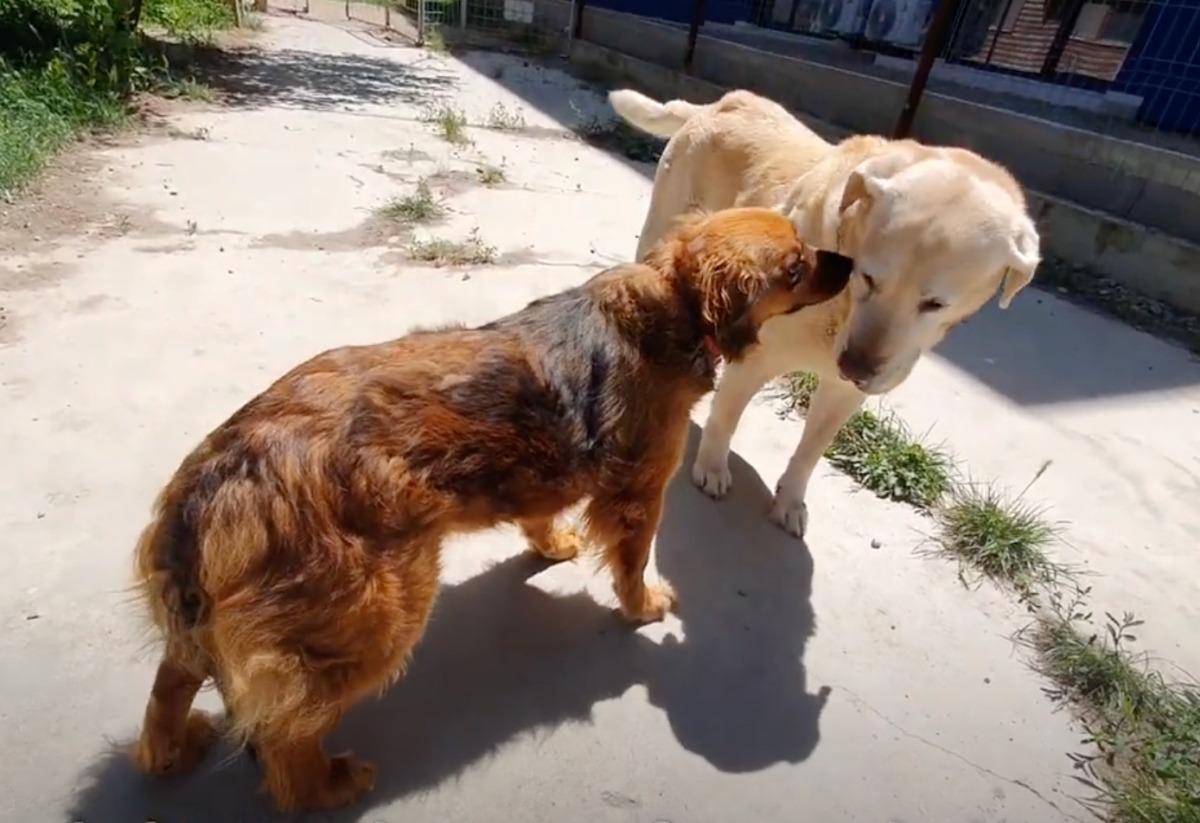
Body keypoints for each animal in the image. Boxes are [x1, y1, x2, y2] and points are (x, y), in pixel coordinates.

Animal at [129, 209, 854, 815]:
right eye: (796, 267)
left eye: (805, 242)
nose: (847, 263)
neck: (672, 298)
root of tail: (224, 473)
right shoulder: (641, 492)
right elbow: (631, 561)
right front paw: (643, 605)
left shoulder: (548, 472)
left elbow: (541, 513)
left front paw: (551, 544)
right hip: (376, 615)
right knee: (284, 738)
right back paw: (323, 786)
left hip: (218, 622)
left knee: (172, 681)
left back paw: (169, 749)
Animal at [609, 89, 1041, 537]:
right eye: (867, 277)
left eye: (935, 304)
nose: (855, 366)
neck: (841, 304)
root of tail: (721, 103)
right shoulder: (755, 358)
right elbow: (726, 416)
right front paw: (712, 467)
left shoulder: (844, 394)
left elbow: (811, 450)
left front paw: (790, 501)